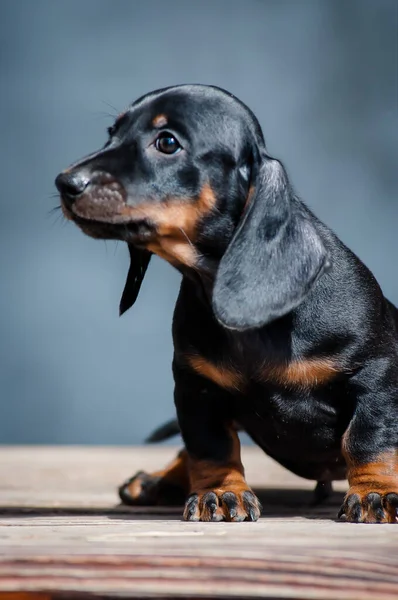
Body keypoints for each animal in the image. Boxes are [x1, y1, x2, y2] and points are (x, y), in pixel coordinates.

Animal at [56, 83, 398, 520]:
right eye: (111, 133)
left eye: (167, 142)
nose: (66, 182)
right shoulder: (196, 388)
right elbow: (210, 447)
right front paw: (219, 492)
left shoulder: (375, 376)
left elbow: (369, 438)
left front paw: (377, 493)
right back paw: (158, 480)